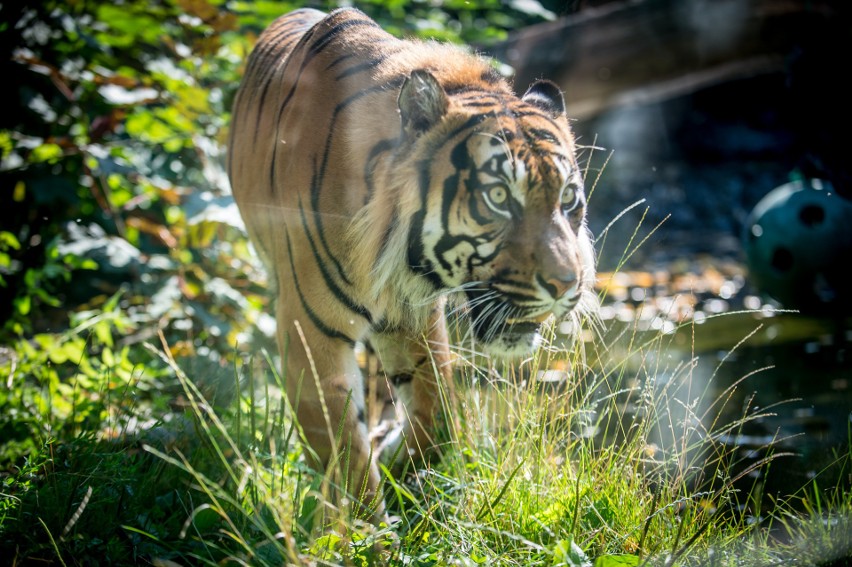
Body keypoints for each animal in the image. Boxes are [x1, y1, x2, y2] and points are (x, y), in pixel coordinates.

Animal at [230, 7, 596, 524]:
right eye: (498, 197)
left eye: (568, 199)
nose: (567, 286)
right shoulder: (311, 331)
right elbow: (346, 449)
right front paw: (366, 528)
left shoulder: (411, 314)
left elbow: (439, 414)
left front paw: (400, 467)